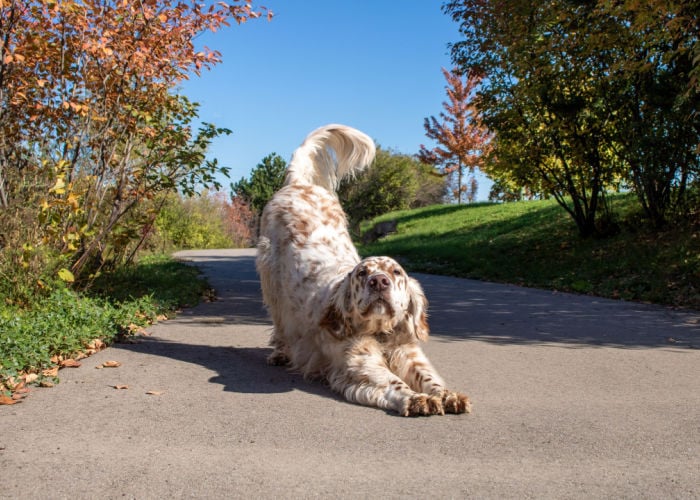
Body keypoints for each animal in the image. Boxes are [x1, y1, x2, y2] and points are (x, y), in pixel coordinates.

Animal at [258, 125, 470, 418]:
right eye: (362, 274)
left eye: (396, 273)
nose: (379, 281)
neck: (380, 333)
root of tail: (298, 183)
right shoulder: (359, 364)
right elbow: (393, 381)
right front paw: (417, 398)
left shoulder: (408, 353)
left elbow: (430, 378)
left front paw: (447, 394)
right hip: (271, 280)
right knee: (280, 324)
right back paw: (280, 353)